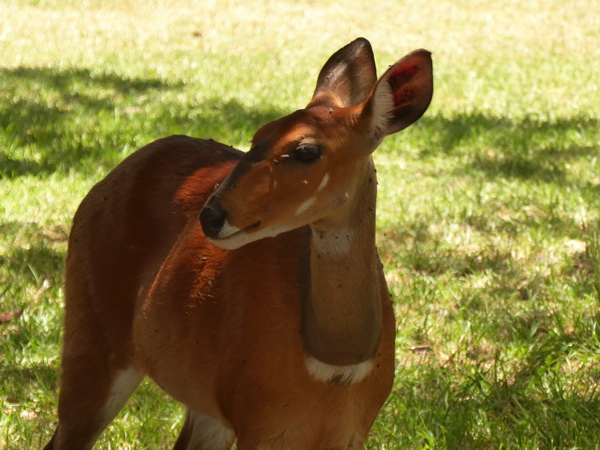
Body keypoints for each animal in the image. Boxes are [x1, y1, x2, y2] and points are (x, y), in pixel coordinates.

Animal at [45, 37, 432, 448]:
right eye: (257, 135)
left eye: (306, 150)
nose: (211, 216)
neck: (336, 365)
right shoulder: (260, 423)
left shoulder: (350, 431)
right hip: (93, 344)